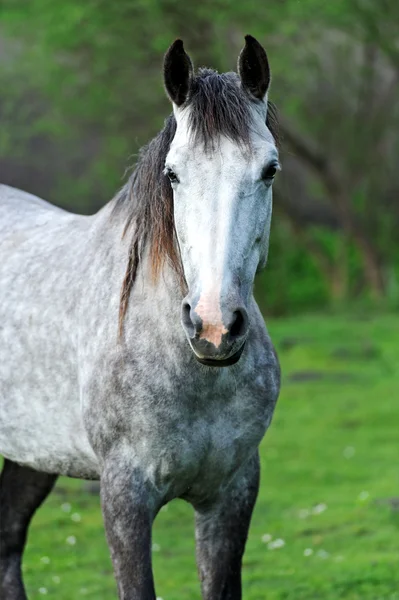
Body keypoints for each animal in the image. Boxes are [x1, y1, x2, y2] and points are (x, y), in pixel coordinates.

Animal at [0, 37, 282, 600]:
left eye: (269, 169)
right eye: (173, 173)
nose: (214, 327)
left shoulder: (232, 492)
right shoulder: (125, 498)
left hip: (31, 452)